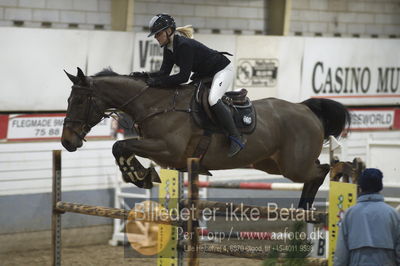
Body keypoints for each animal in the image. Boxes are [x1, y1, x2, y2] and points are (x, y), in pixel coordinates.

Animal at [60, 67, 350, 209]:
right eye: (68, 99)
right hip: (272, 164)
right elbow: (120, 147)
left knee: (323, 170)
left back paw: (309, 207)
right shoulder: (165, 154)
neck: (154, 104)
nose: (67, 142)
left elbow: (120, 144)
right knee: (322, 169)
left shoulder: (166, 149)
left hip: (293, 166)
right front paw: (141, 175)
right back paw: (303, 211)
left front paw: (139, 176)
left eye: (79, 101)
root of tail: (306, 109)